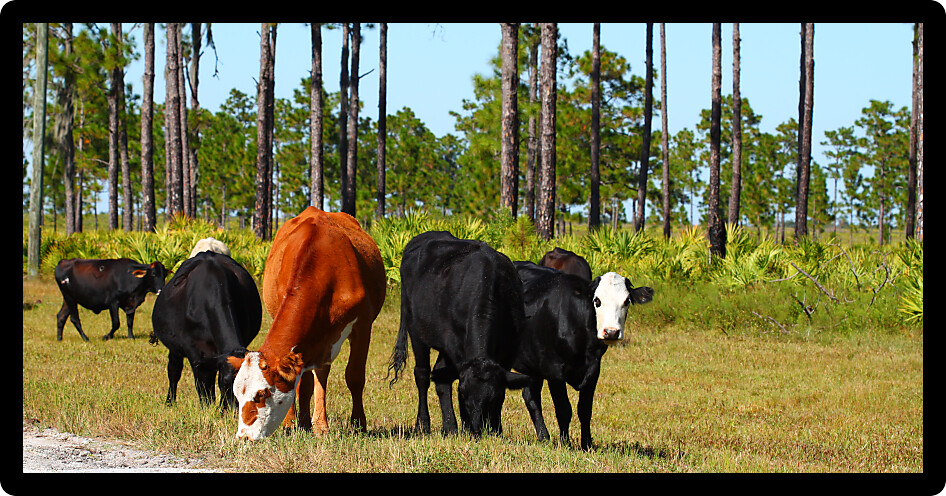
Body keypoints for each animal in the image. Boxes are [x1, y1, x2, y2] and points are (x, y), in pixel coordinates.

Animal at [150, 252, 262, 410]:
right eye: (227, 382)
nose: (237, 411)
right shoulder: (195, 352)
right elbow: (203, 384)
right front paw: (207, 408)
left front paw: (222, 409)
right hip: (175, 349)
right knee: (174, 371)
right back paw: (170, 401)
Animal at [224, 207, 386, 440]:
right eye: (237, 394)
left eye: (261, 394)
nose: (244, 436)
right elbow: (303, 383)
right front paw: (300, 423)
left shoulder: (363, 325)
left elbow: (354, 376)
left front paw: (358, 425)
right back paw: (299, 422)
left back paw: (321, 424)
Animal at [387, 231, 531, 439]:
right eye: (463, 393)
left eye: (493, 396)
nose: (477, 429)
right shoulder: (454, 347)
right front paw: (466, 426)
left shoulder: (510, 348)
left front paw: (496, 430)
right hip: (415, 330)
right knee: (423, 375)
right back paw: (423, 425)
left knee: (439, 376)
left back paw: (450, 427)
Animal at [512, 261, 653, 449]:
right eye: (597, 300)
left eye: (627, 301)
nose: (611, 332)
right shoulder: (554, 370)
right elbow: (564, 409)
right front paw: (565, 443)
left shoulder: (593, 369)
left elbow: (585, 410)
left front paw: (587, 444)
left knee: (530, 396)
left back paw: (544, 437)